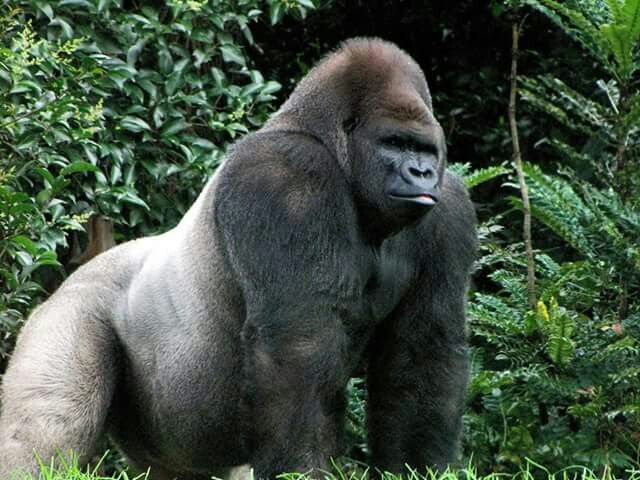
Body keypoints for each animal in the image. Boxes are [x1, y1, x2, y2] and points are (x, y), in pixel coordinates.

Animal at [0, 38, 477, 479]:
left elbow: (422, 350)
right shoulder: (284, 176)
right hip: (70, 310)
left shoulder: (449, 207)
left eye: (425, 150)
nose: (421, 173)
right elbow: (298, 344)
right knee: (45, 433)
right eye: (394, 144)